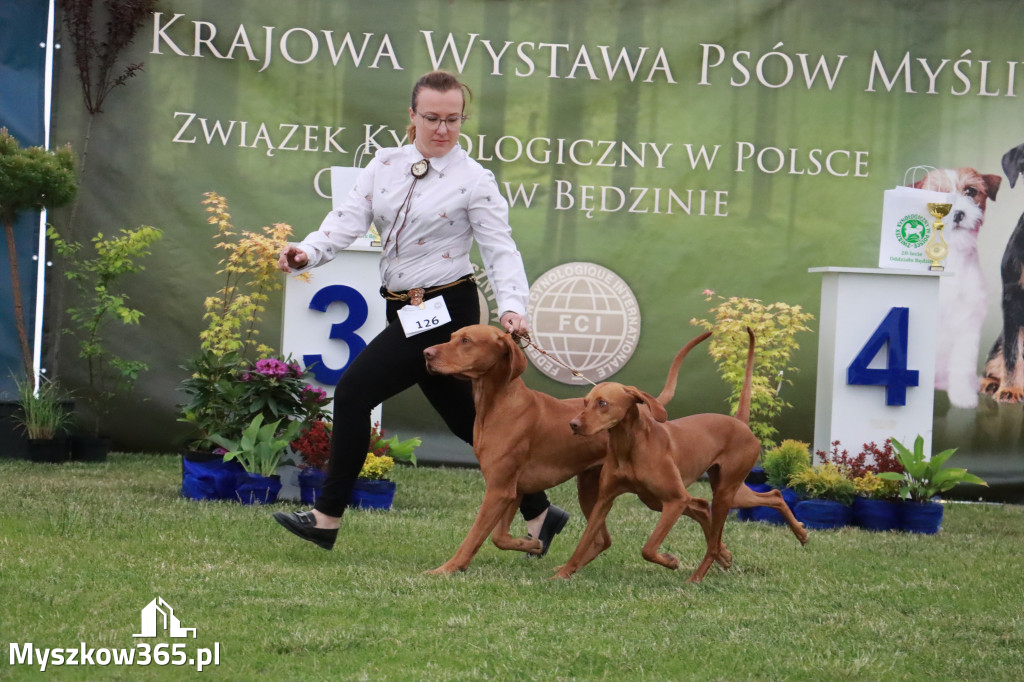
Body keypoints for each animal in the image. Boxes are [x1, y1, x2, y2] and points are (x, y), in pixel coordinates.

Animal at [419, 321, 708, 569]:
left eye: (466, 340)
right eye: (451, 337)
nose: (425, 353)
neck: (498, 404)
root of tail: (643, 408)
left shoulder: (499, 489)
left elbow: (474, 537)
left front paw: (447, 569)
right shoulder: (514, 488)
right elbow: (498, 537)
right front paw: (531, 544)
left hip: (651, 494)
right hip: (593, 488)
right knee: (604, 539)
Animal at [557, 327, 802, 581]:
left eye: (603, 403)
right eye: (585, 402)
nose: (573, 424)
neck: (628, 446)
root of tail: (740, 423)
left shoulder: (675, 500)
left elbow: (648, 549)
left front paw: (670, 561)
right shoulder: (604, 500)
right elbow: (583, 542)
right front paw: (562, 574)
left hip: (723, 494)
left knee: (713, 538)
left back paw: (698, 576)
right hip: (701, 495)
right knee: (764, 497)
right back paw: (796, 534)